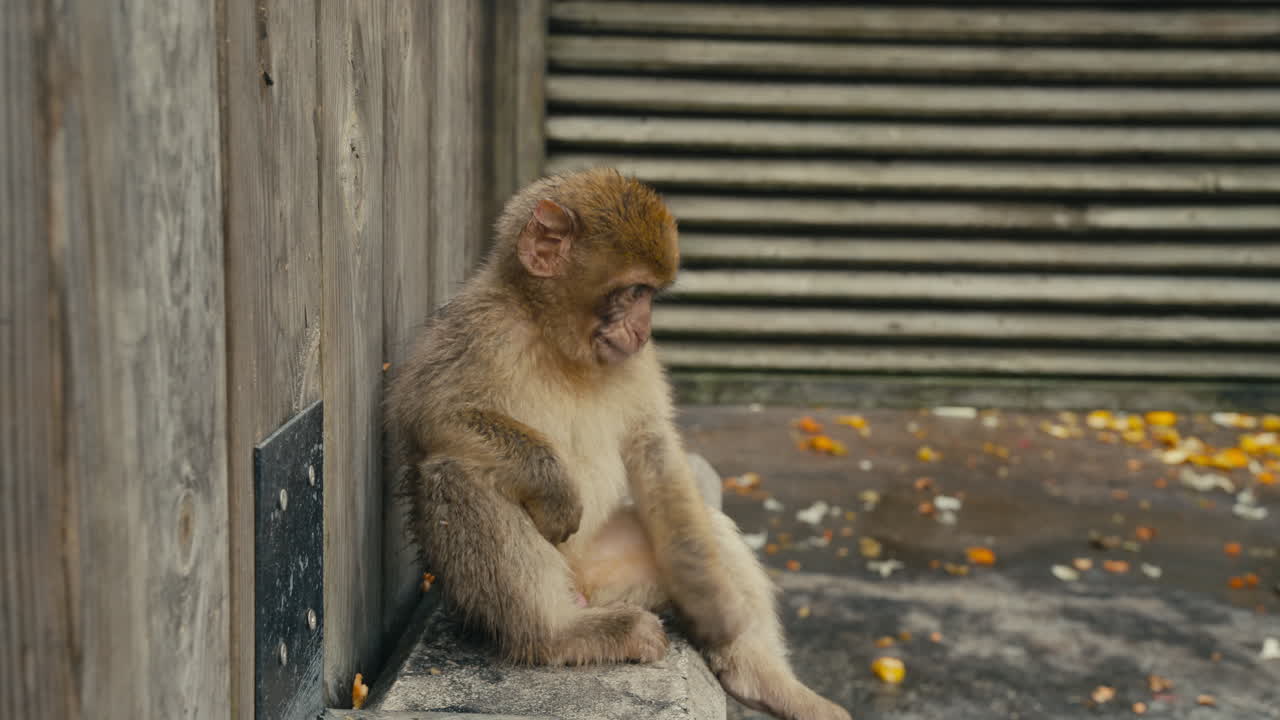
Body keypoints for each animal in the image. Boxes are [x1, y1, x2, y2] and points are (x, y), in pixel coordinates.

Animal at [386, 168, 850, 720]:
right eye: (632, 291)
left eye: (649, 294)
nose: (643, 327)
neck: (555, 340)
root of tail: (581, 586)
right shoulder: (477, 326)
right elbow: (427, 415)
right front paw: (554, 486)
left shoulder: (637, 361)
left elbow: (655, 449)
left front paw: (714, 608)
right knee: (454, 472)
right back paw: (559, 634)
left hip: (621, 571)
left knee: (704, 525)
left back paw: (761, 677)